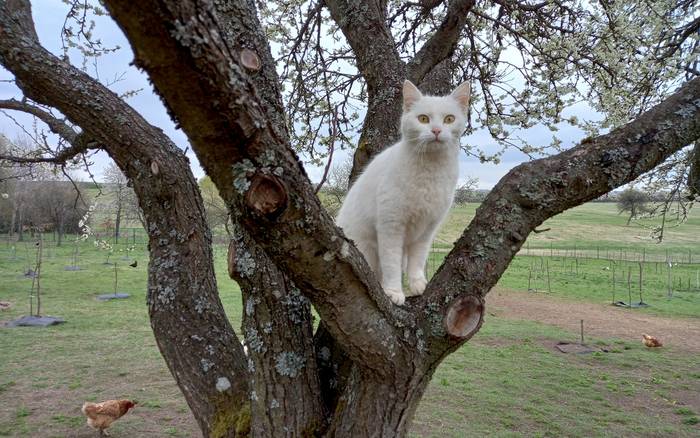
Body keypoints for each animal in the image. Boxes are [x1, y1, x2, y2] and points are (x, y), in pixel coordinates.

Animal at [334, 80, 468, 304]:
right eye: (423, 119)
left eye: (449, 119)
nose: (436, 130)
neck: (430, 169)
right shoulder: (391, 227)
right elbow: (392, 264)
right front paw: (394, 291)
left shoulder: (426, 230)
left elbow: (417, 260)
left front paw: (418, 284)